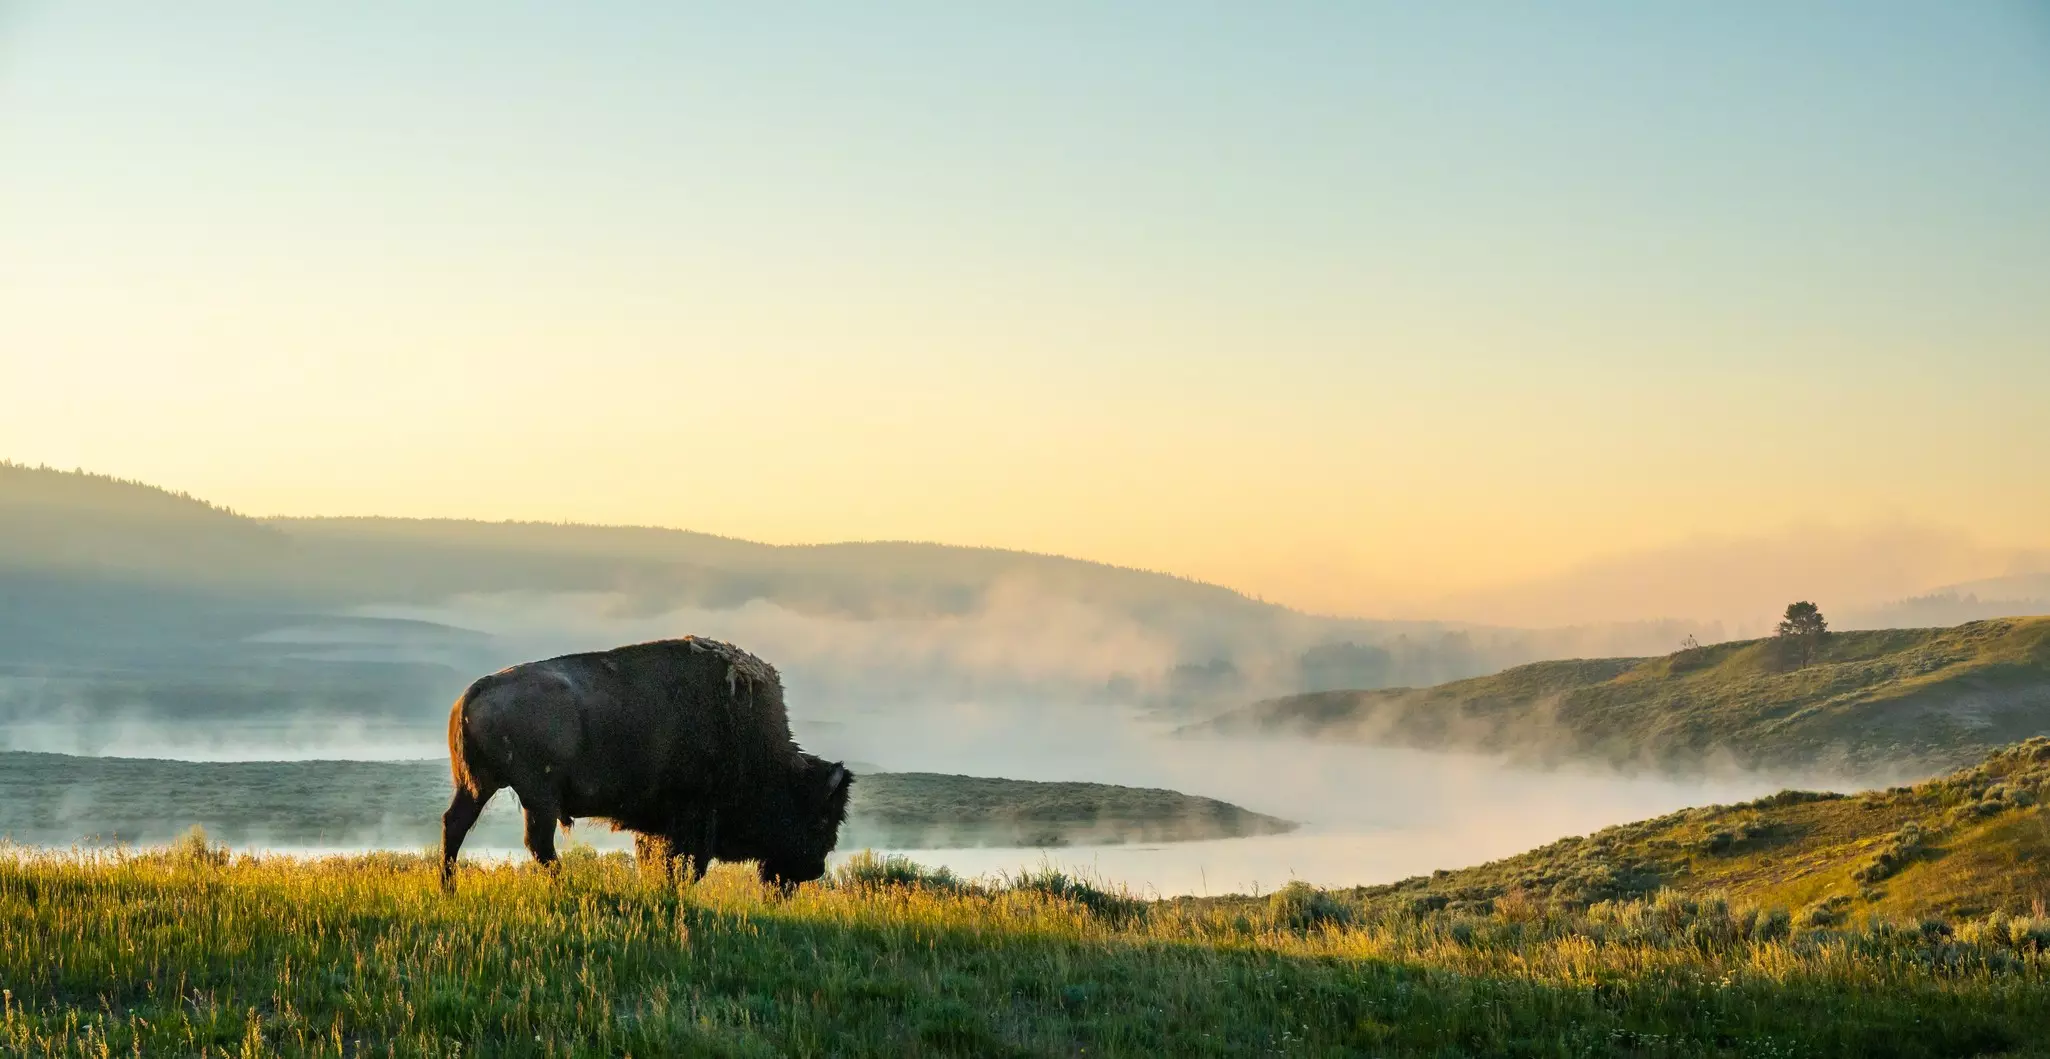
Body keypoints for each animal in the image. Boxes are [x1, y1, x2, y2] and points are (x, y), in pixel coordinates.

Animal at [440, 636, 852, 889]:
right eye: (820, 818)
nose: (814, 870)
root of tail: (477, 688)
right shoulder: (692, 820)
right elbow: (682, 863)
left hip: (480, 787)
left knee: (456, 826)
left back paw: (449, 889)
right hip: (537, 797)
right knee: (538, 845)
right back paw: (564, 885)